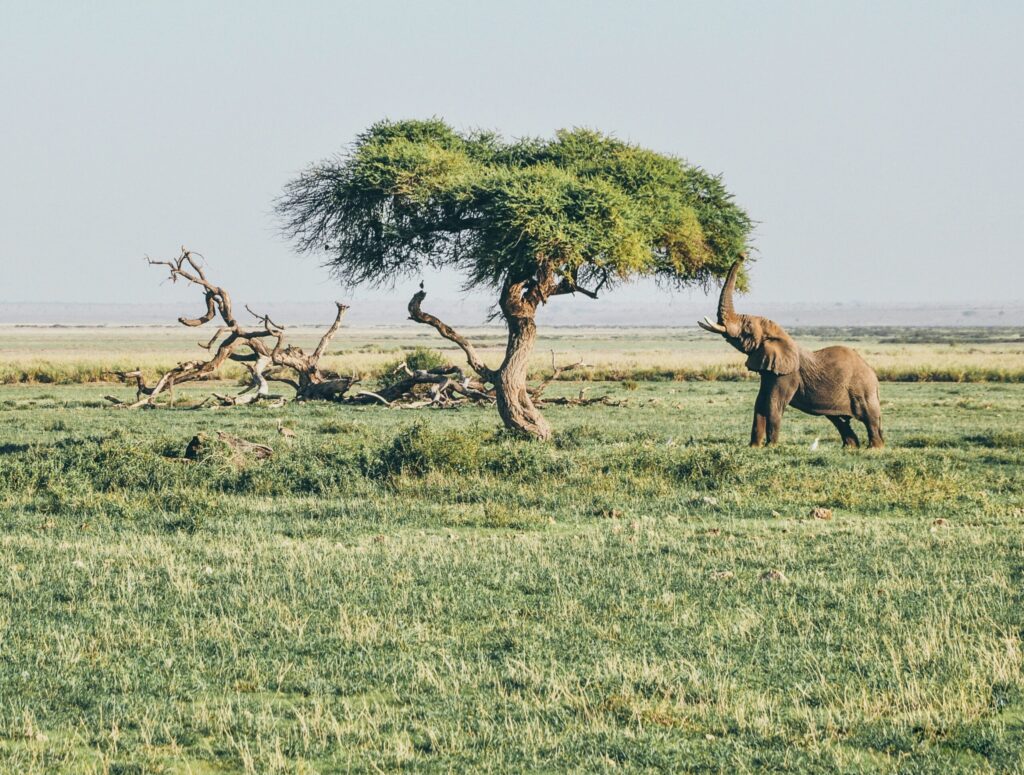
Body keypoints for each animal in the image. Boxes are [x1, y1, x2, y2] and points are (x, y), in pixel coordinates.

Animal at [700, 256, 884, 448]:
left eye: (747, 330)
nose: (741, 255)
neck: (780, 336)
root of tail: (873, 374)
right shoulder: (770, 371)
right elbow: (760, 403)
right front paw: (754, 447)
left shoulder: (787, 375)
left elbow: (773, 404)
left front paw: (771, 447)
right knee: (839, 420)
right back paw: (850, 448)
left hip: (863, 389)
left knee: (869, 418)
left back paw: (874, 449)